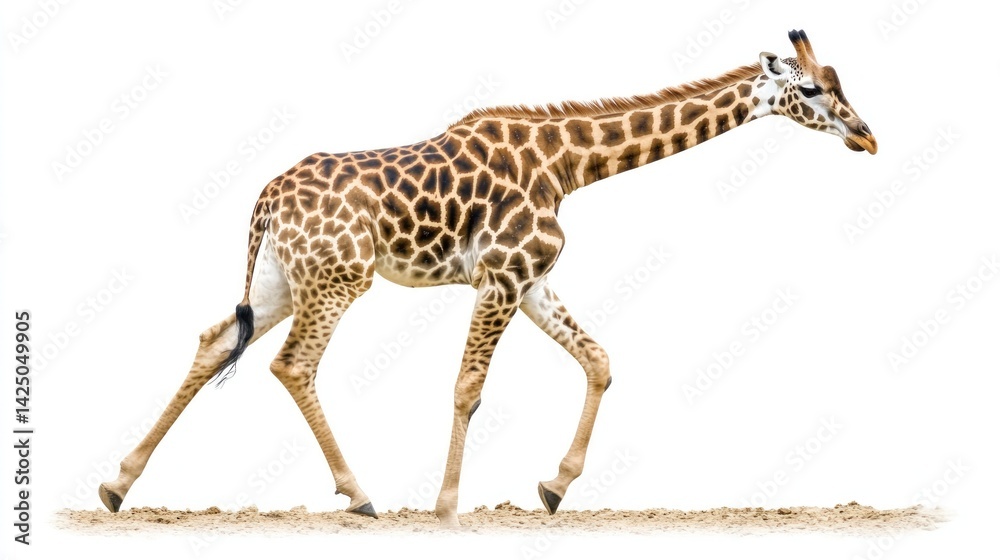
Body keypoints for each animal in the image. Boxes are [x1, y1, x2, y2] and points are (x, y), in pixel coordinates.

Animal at [99, 30, 876, 526]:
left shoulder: (529, 281)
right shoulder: (501, 277)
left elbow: (600, 359)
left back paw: (115, 485)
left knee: (211, 341)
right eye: (812, 88)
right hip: (337, 280)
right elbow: (470, 387)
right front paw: (446, 508)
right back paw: (360, 494)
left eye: (841, 83)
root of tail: (265, 199)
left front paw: (554, 488)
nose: (867, 136)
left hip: (280, 281)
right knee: (293, 365)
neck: (568, 164)